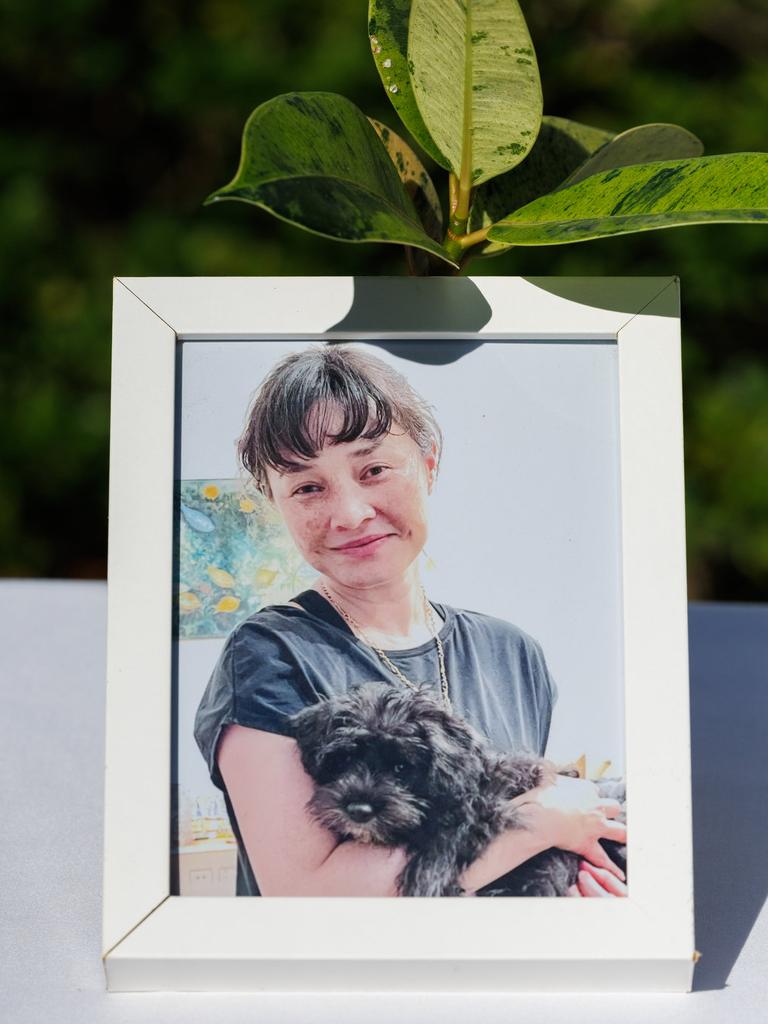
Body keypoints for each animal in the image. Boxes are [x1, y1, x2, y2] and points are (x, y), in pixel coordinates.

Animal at [290, 688, 626, 897]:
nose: (358, 811)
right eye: (343, 760)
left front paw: (427, 877)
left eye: (400, 767)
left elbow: (465, 817)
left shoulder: (507, 787)